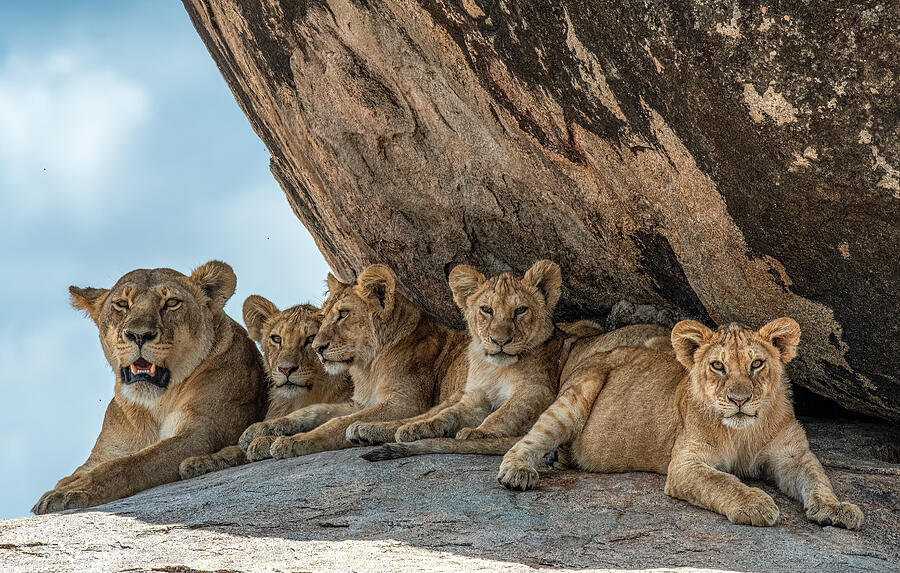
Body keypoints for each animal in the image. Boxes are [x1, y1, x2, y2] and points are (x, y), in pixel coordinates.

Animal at [32, 261, 267, 514]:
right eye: (122, 304)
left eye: (171, 302)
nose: (139, 335)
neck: (156, 404)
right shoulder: (105, 452)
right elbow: (91, 468)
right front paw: (63, 487)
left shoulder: (202, 434)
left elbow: (129, 464)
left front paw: (71, 491)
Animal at [178, 296, 352, 479]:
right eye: (276, 339)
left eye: (311, 338)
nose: (285, 369)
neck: (302, 398)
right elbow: (233, 450)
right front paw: (198, 461)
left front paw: (263, 441)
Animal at [496, 318, 864, 529]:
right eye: (718, 366)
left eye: (757, 364)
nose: (739, 400)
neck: (744, 433)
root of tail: (595, 351)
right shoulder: (685, 465)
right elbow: (723, 482)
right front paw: (755, 503)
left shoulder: (793, 456)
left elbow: (817, 478)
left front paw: (836, 509)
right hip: (572, 400)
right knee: (531, 437)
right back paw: (518, 473)